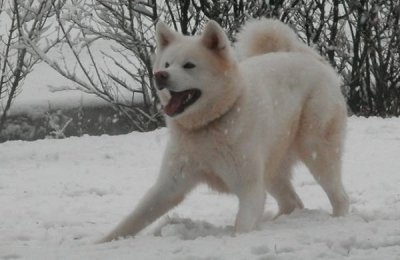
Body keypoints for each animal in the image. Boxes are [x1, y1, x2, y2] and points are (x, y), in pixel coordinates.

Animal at [98, 19, 348, 243]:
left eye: (189, 65)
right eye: (167, 64)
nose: (160, 75)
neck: (208, 125)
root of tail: (310, 58)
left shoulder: (249, 188)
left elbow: (241, 226)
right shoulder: (168, 186)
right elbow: (132, 220)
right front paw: (101, 243)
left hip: (316, 151)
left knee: (339, 196)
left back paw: (338, 219)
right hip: (271, 169)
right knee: (292, 202)